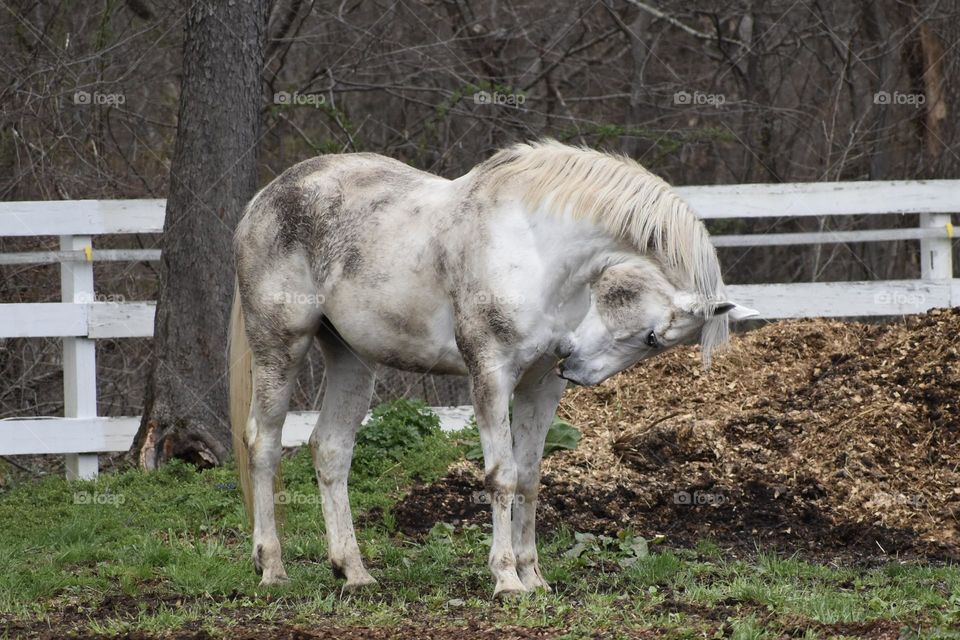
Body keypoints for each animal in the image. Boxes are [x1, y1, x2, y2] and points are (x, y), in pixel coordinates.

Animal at [229, 140, 752, 596]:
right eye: (652, 337)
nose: (578, 368)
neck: (537, 248)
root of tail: (263, 200)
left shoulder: (541, 384)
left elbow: (529, 477)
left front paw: (533, 576)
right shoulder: (492, 374)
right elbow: (501, 475)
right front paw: (506, 580)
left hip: (352, 360)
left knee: (331, 450)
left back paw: (353, 572)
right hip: (280, 347)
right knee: (264, 444)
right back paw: (271, 568)